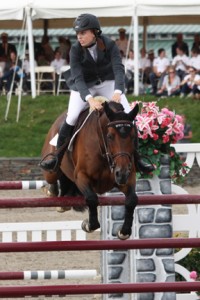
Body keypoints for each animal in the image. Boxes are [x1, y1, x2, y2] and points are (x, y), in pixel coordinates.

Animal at [41, 99, 139, 240]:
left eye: (133, 136)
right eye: (110, 136)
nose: (122, 173)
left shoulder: (128, 178)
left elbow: (132, 200)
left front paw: (124, 231)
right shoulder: (81, 176)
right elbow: (92, 199)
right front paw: (88, 225)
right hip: (52, 169)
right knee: (52, 175)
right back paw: (52, 191)